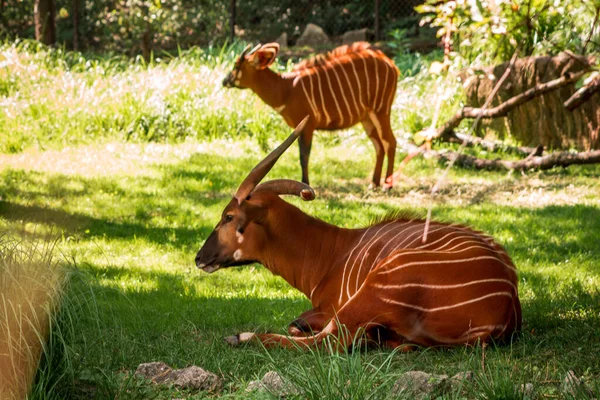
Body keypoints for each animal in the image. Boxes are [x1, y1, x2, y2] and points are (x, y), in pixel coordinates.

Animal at [193, 117, 520, 348]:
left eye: (228, 216)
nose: (199, 257)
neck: (332, 250)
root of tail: (506, 307)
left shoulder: (332, 309)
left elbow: (301, 325)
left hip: (375, 289)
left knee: (328, 342)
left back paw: (242, 337)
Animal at [221, 42, 398, 189]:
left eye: (237, 65)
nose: (224, 81)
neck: (286, 89)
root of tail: (391, 63)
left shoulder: (308, 126)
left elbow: (304, 156)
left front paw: (305, 183)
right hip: (367, 117)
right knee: (378, 145)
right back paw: (374, 183)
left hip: (381, 110)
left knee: (390, 142)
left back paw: (387, 186)